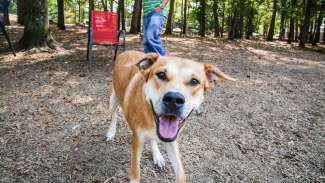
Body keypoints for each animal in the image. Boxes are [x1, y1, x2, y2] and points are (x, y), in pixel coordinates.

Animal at [106, 50, 235, 183]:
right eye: (161, 75)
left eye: (194, 81)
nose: (174, 99)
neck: (151, 119)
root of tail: (127, 51)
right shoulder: (137, 140)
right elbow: (135, 174)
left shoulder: (172, 140)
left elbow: (181, 174)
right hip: (113, 99)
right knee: (114, 115)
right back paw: (111, 132)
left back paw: (157, 155)